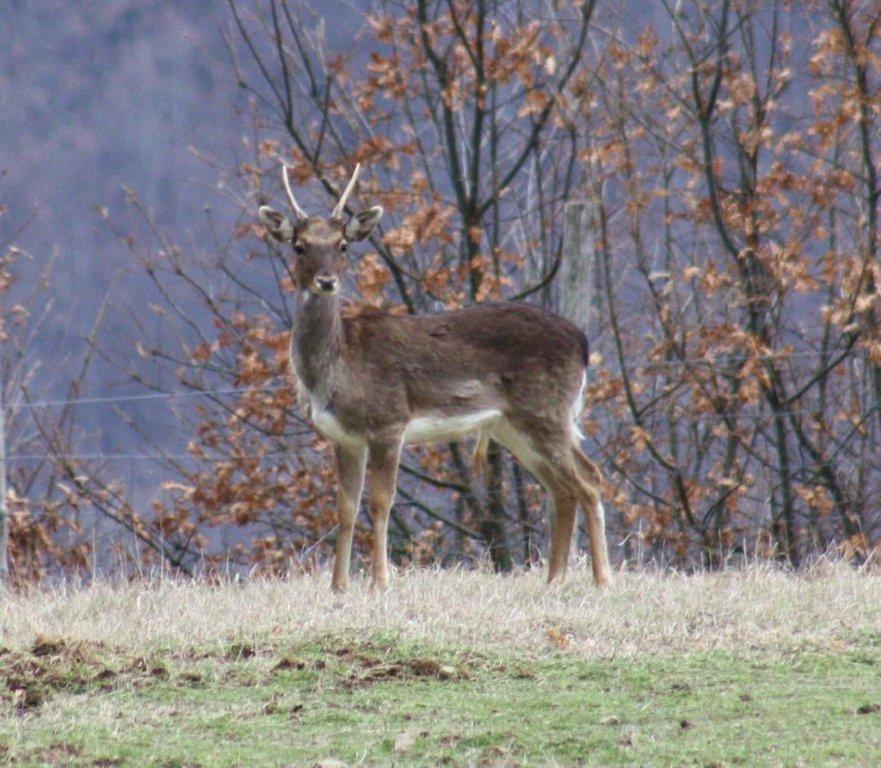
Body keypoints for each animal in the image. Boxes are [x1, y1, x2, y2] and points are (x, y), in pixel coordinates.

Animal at [258, 165, 608, 592]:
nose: (326, 281)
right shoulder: (343, 437)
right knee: (564, 487)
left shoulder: (388, 421)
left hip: (547, 411)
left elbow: (380, 502)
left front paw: (379, 582)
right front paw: (338, 586)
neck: (335, 372)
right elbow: (345, 507)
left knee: (588, 481)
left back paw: (602, 579)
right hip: (514, 425)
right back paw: (554, 579)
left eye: (342, 245)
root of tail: (582, 342)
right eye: (298, 246)